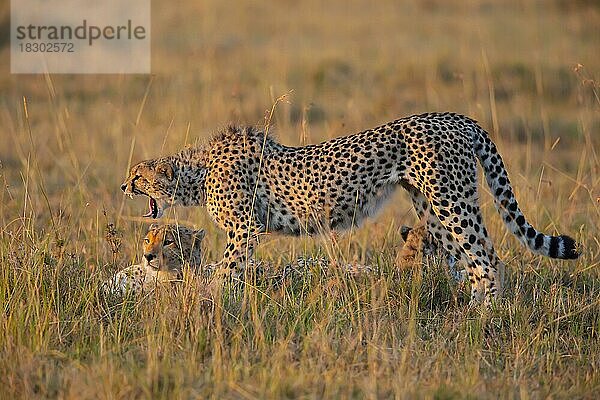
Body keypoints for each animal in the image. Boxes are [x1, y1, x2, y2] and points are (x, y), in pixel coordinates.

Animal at [119, 111, 580, 304]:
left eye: (138, 176)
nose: (124, 186)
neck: (196, 172)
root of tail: (457, 117)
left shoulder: (245, 228)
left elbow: (225, 269)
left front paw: (209, 298)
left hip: (452, 201)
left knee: (488, 256)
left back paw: (485, 317)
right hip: (431, 209)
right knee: (463, 259)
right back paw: (468, 307)